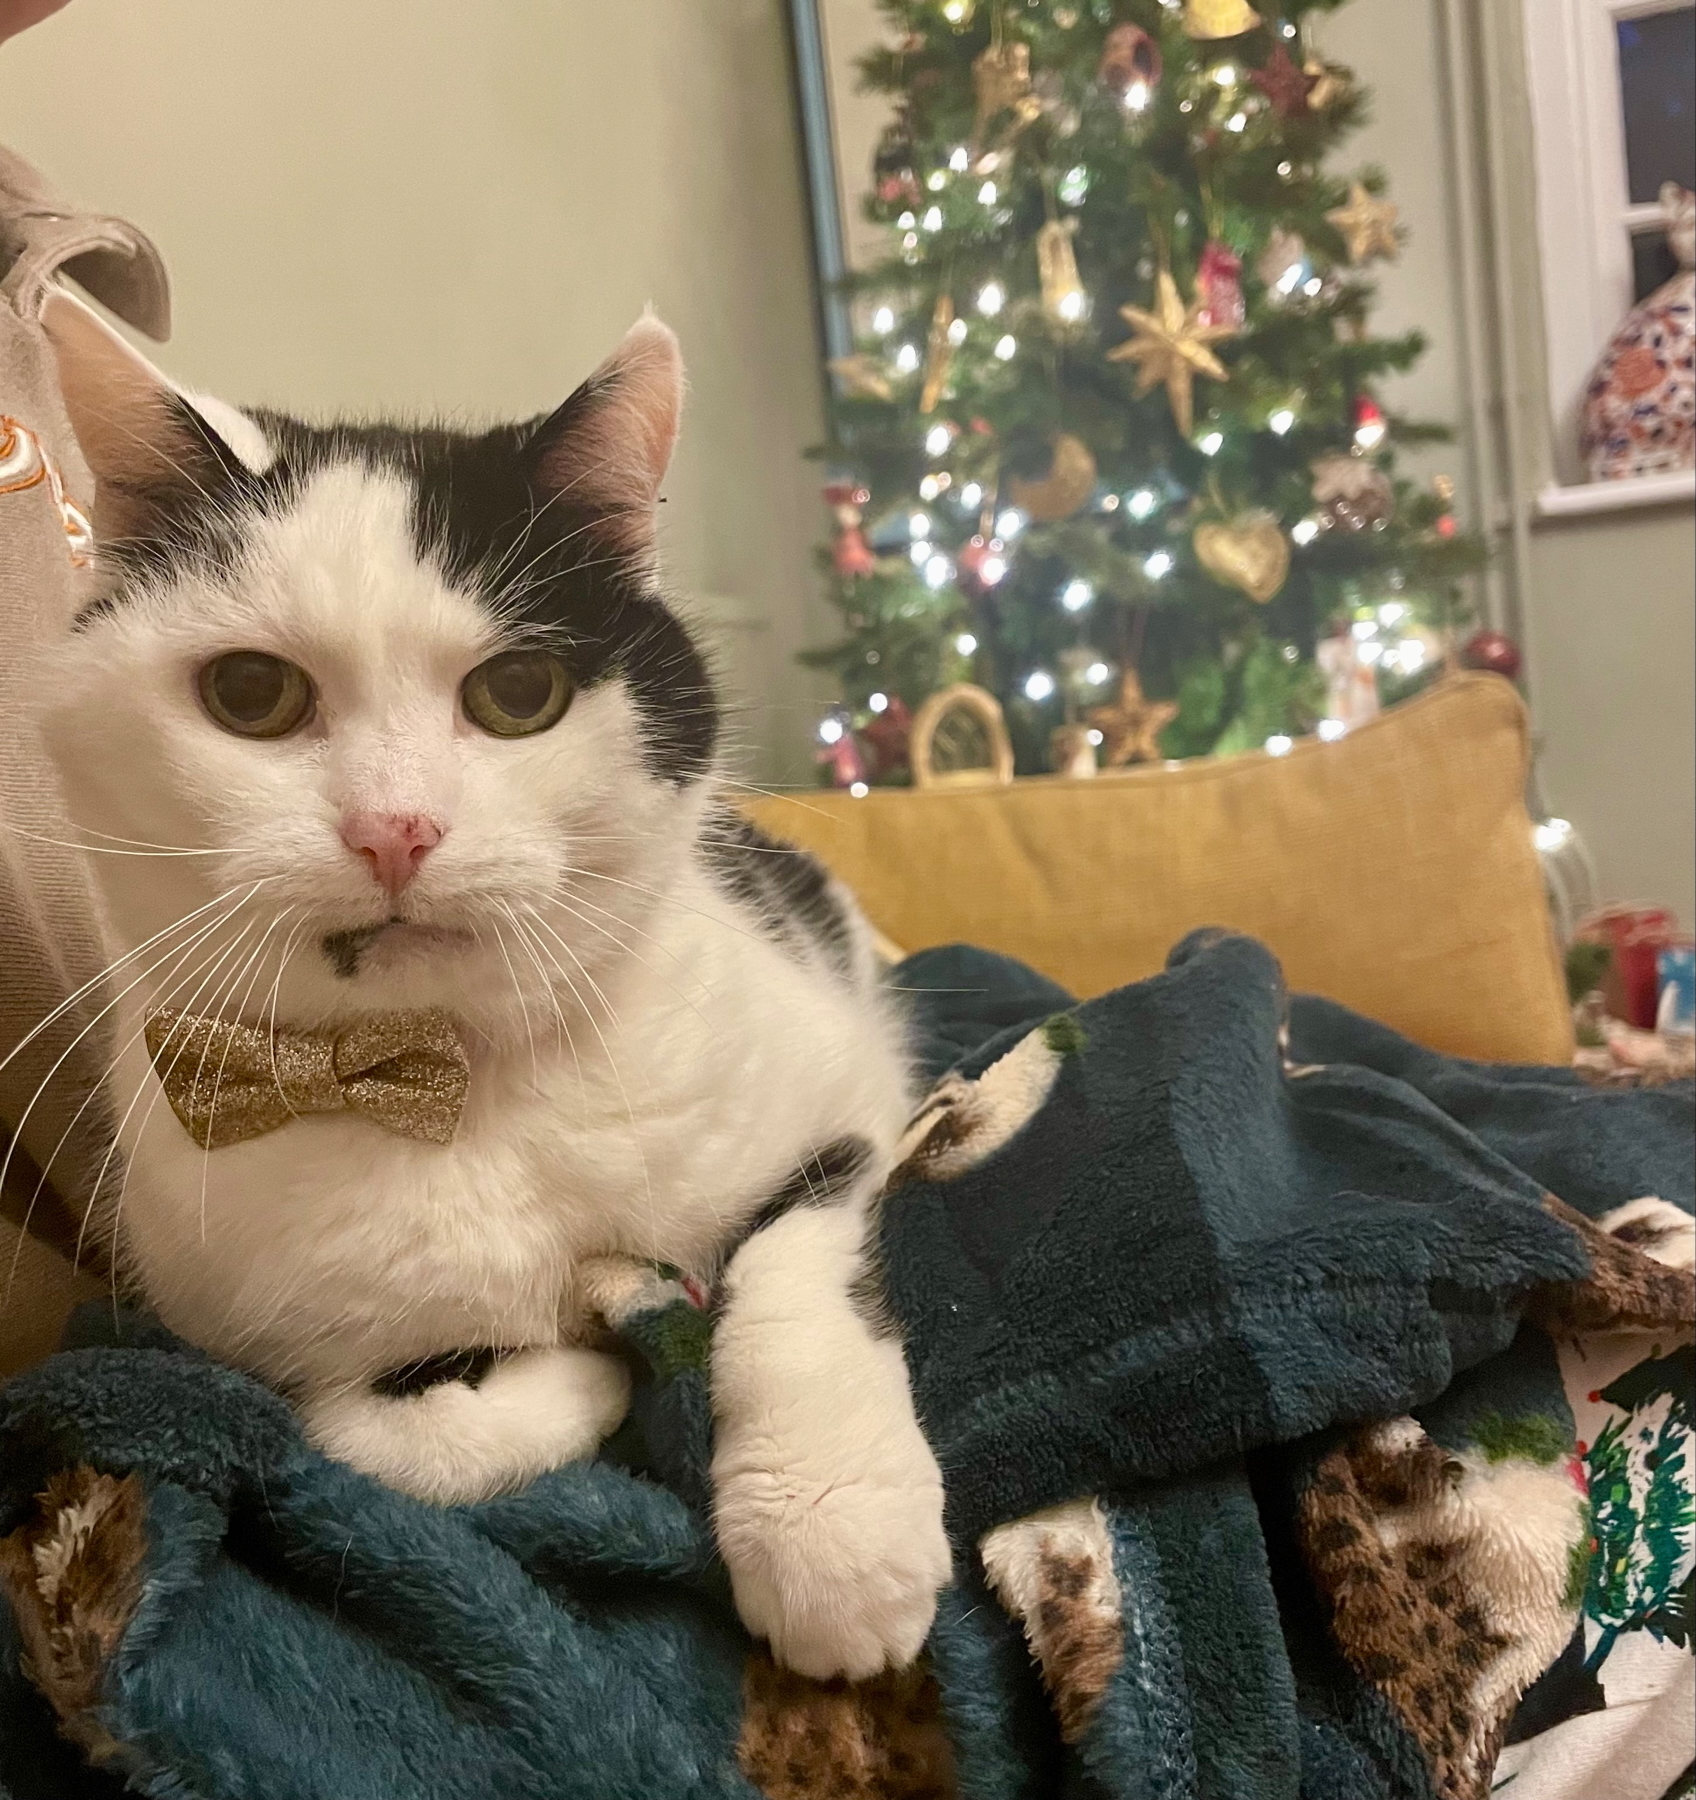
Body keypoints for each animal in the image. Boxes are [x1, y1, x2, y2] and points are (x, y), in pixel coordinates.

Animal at [36, 295, 957, 1684]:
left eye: (517, 695)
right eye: (250, 693)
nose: (394, 830)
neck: (451, 1086)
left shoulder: (839, 1111)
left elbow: (789, 1269)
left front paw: (835, 1534)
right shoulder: (228, 1339)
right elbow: (368, 1441)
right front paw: (586, 1369)